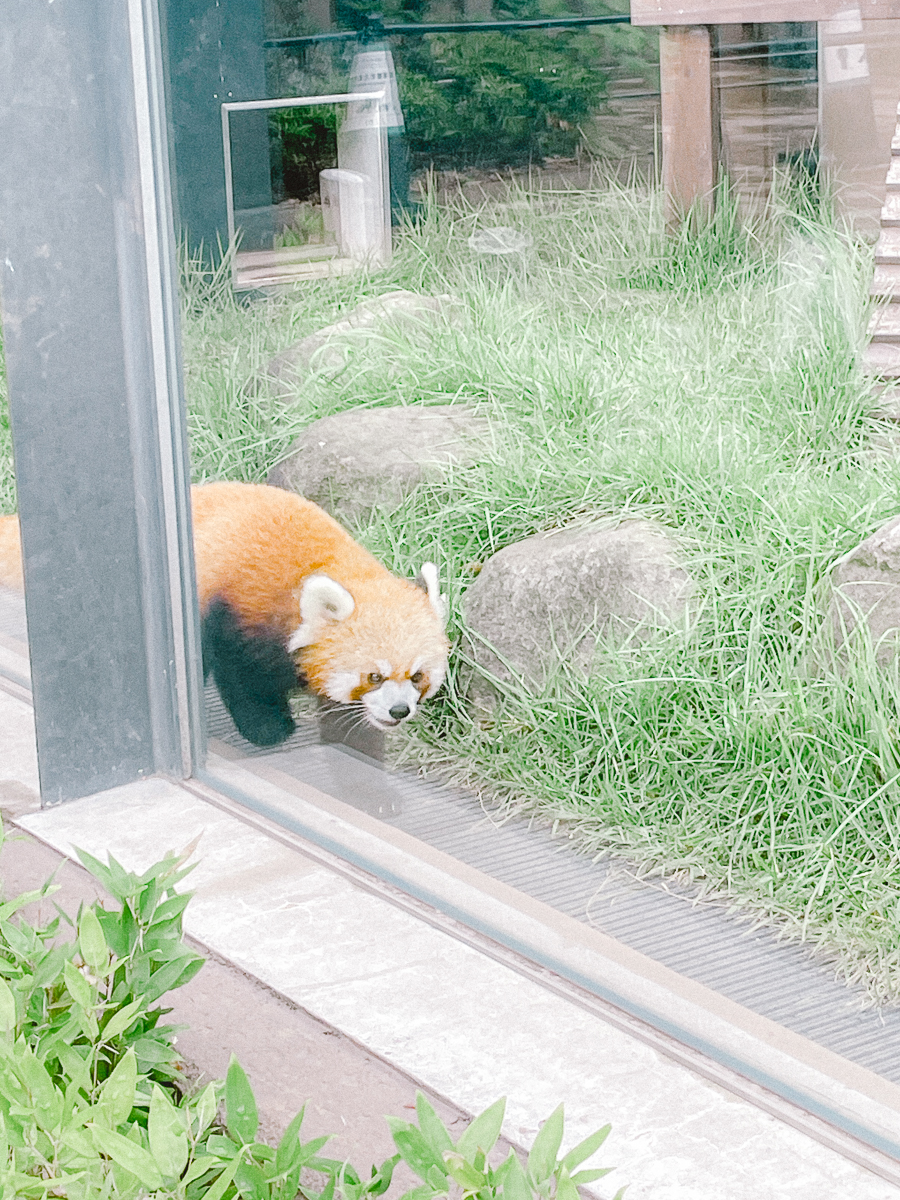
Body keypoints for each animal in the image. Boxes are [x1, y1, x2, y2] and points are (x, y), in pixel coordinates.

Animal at [0, 480, 451, 744]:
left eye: (416, 676)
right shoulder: (238, 614)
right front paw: (267, 727)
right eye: (374, 676)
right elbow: (242, 677)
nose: (399, 710)